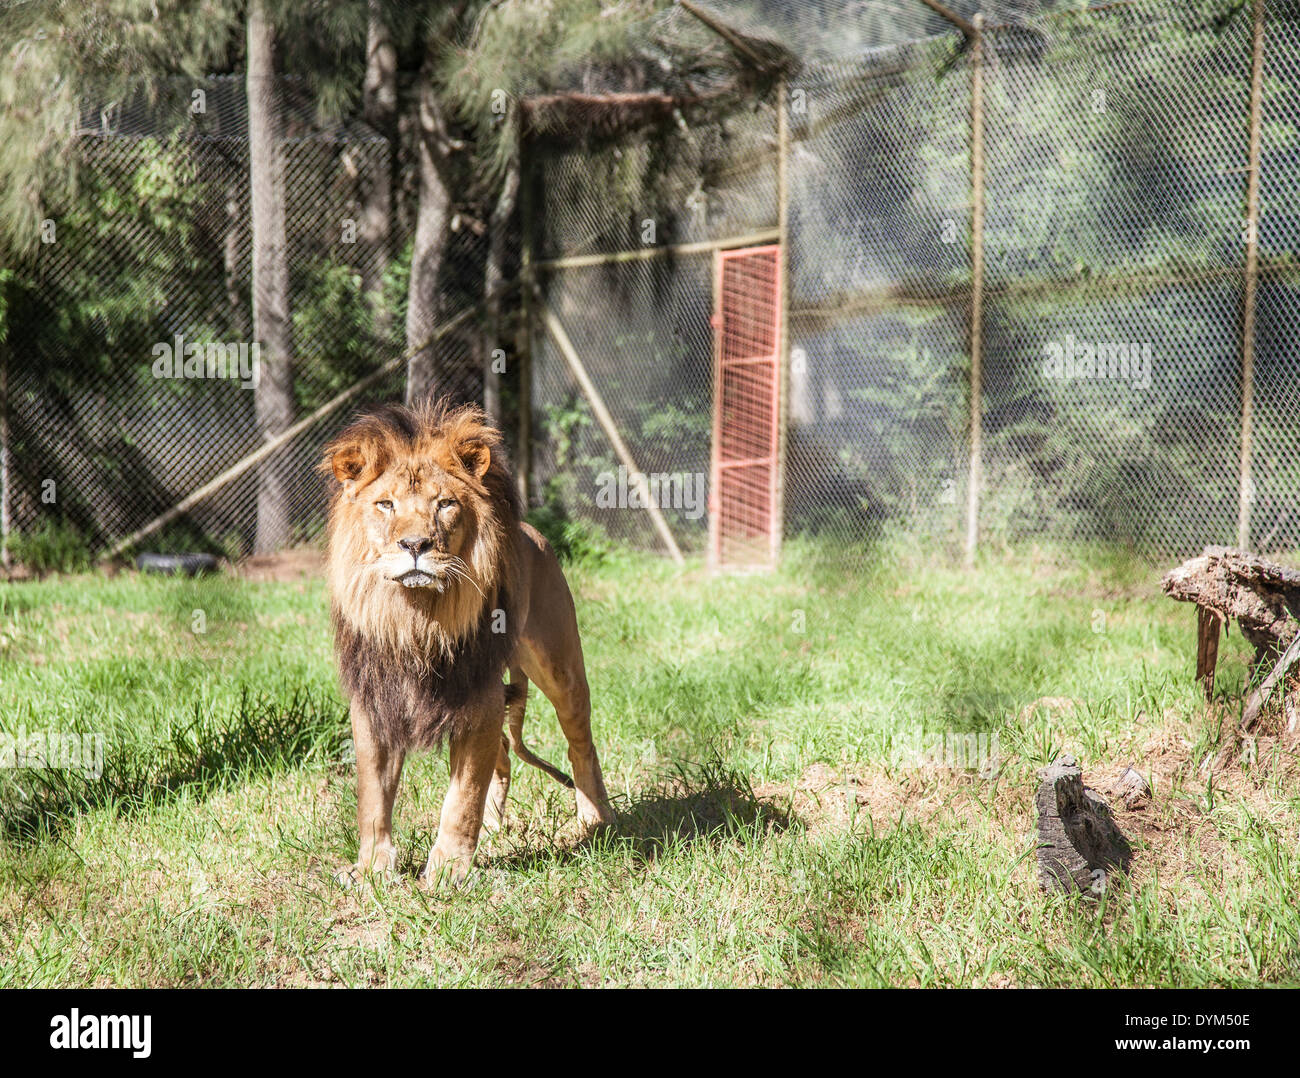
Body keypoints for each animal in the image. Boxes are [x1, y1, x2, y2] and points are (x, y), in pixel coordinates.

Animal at [321, 400, 615, 886]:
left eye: (444, 505)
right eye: (385, 504)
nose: (415, 544)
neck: (417, 618)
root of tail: (531, 530)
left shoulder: (479, 698)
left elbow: (462, 799)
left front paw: (447, 872)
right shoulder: (374, 703)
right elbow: (372, 799)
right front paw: (372, 870)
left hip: (563, 673)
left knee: (580, 746)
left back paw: (596, 822)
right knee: (505, 757)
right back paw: (494, 829)